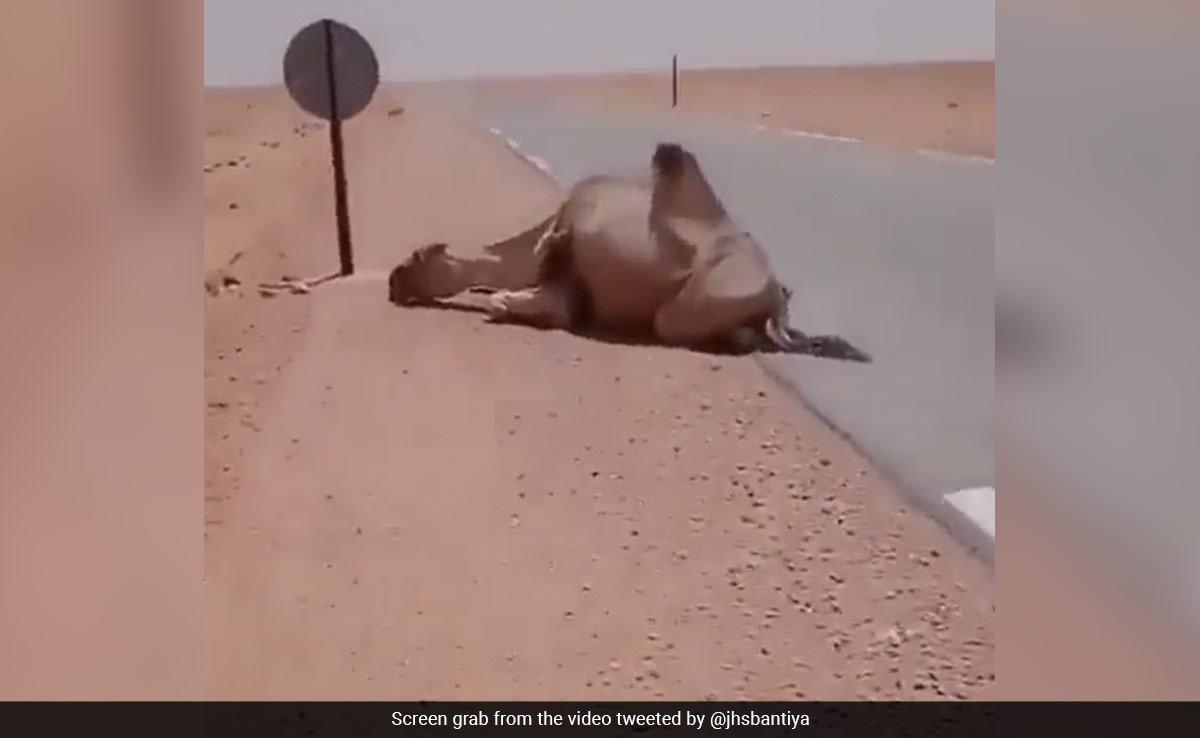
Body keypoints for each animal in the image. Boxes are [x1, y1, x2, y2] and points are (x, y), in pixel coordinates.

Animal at [388, 142, 868, 360]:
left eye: (418, 257)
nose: (395, 281)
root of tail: (774, 289)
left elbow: (555, 302)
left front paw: (502, 302)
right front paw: (502, 300)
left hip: (684, 311)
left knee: (678, 323)